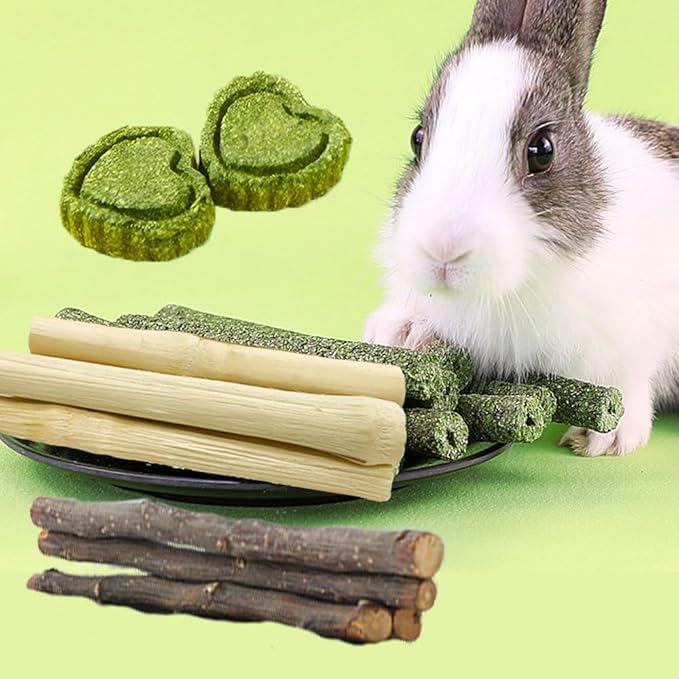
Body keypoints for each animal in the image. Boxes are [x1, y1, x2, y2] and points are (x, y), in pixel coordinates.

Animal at [365, 0, 679, 456]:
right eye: (417, 138)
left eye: (542, 151)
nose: (443, 250)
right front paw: (403, 332)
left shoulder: (636, 336)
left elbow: (628, 381)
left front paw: (603, 439)